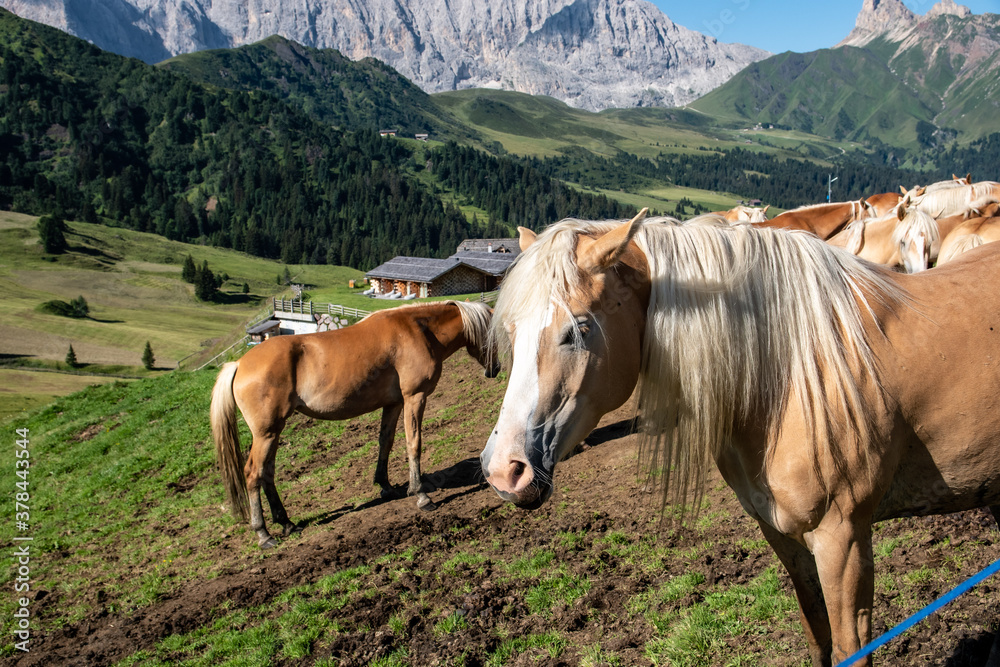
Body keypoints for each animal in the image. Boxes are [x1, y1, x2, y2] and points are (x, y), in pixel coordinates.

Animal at [209, 302, 498, 548]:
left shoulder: (394, 403)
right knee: (253, 474)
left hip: (273, 432)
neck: (419, 330)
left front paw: (386, 486)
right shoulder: (414, 397)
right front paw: (420, 495)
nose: (494, 370)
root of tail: (239, 364)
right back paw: (263, 533)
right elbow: (413, 443)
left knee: (267, 473)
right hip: (266, 433)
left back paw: (287, 523)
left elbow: (386, 441)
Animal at [480, 207, 1000, 664]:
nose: (503, 471)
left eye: (578, 330)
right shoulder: (782, 534)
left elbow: (851, 648)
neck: (791, 373)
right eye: (511, 330)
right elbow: (818, 634)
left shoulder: (845, 538)